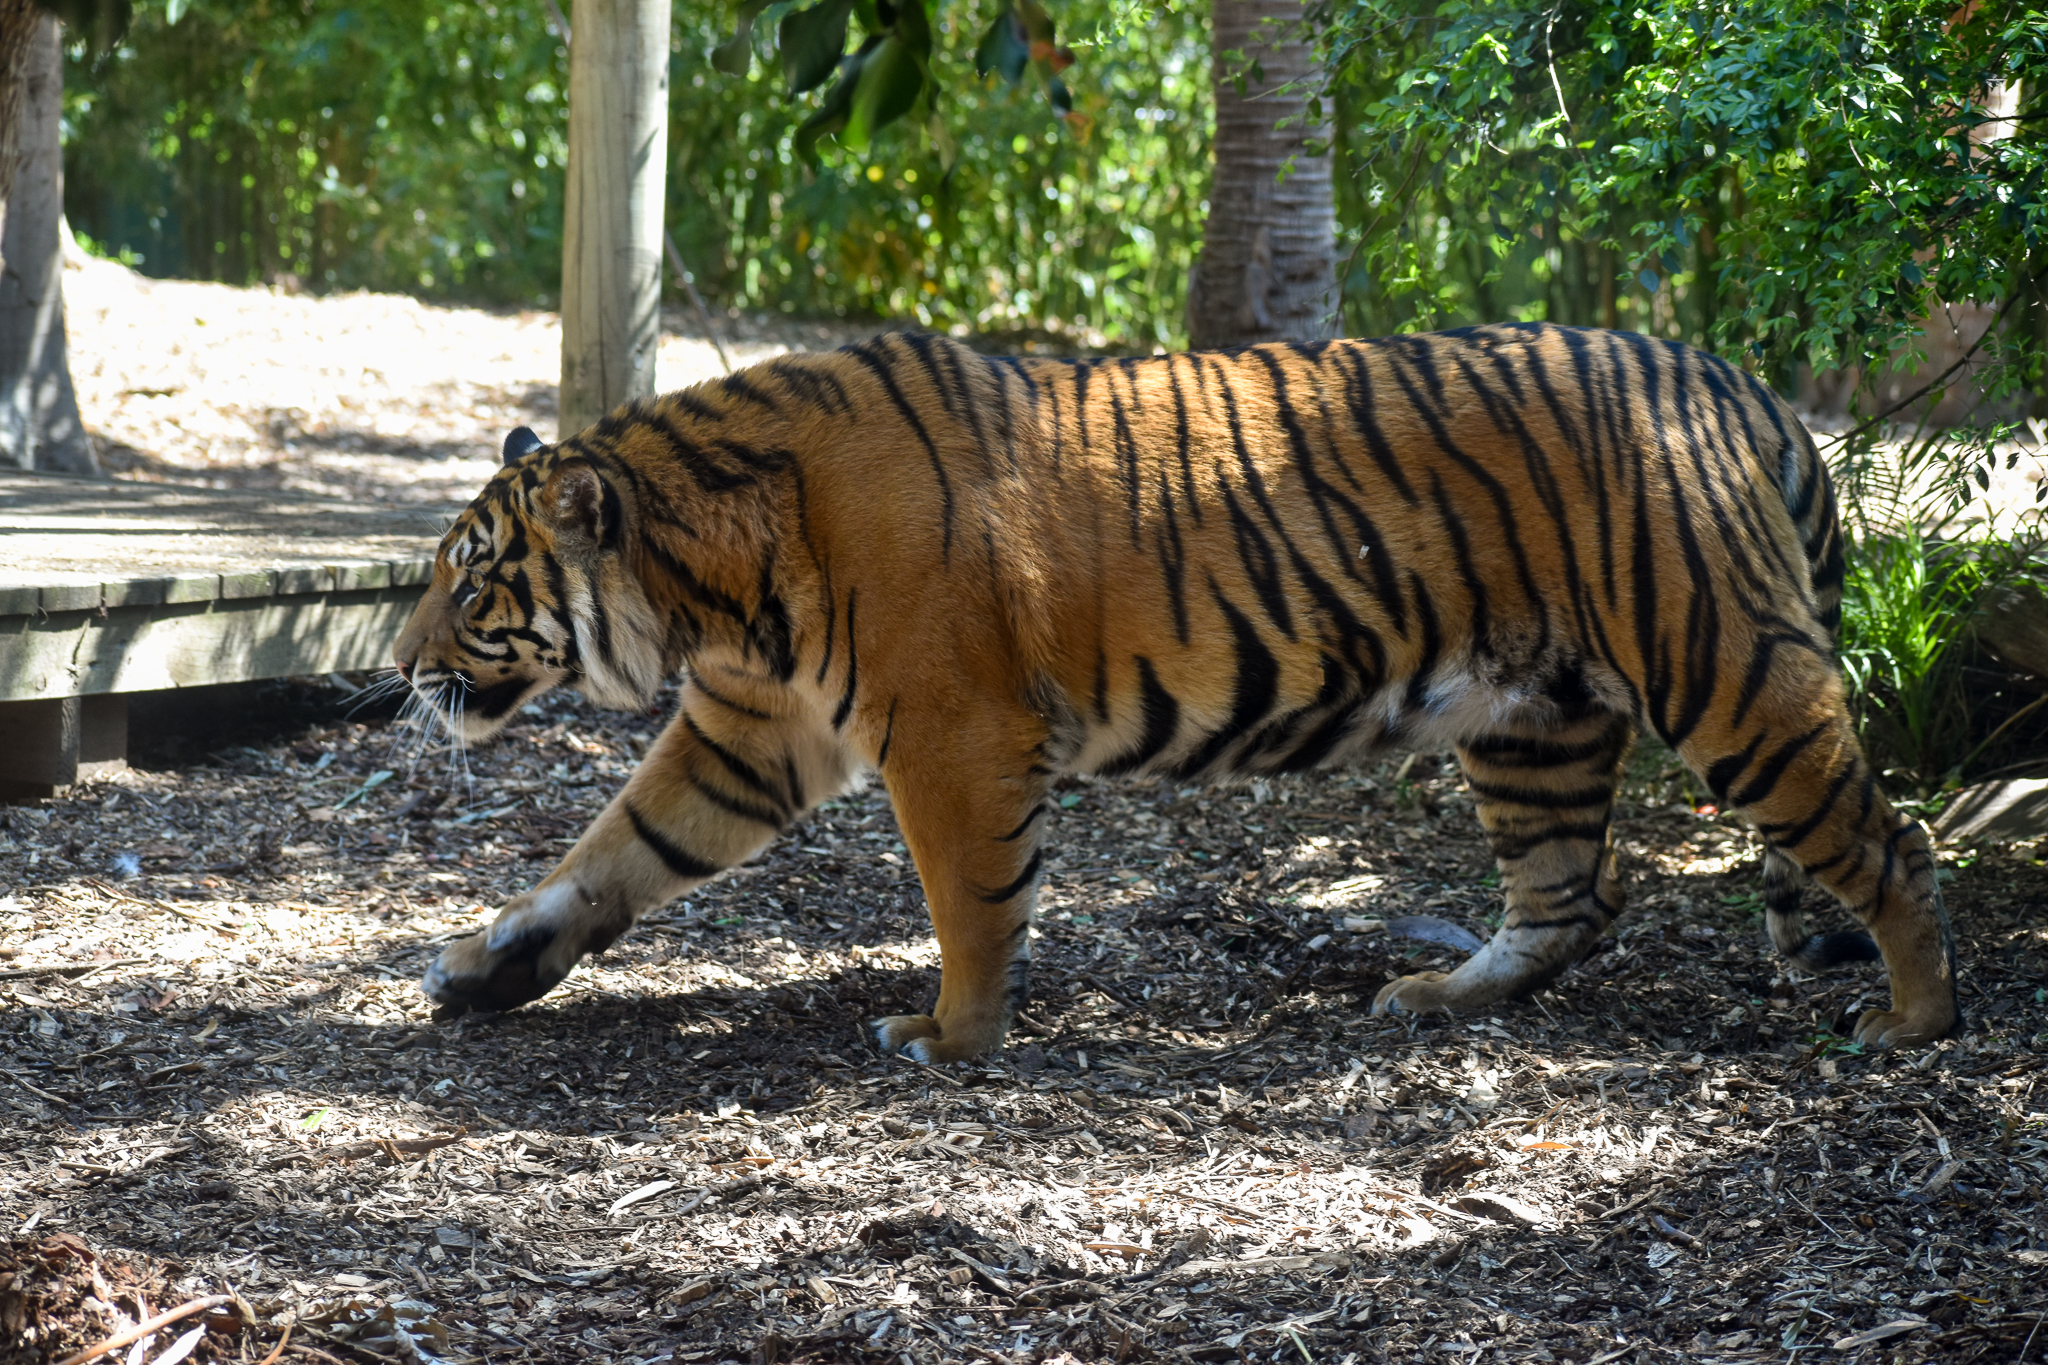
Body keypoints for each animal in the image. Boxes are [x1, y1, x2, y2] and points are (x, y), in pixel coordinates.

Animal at [391, 323, 1959, 1062]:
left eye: (471, 586)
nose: (396, 669)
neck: (711, 583)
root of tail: (1741, 384)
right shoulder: (746, 732)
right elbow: (610, 853)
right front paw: (485, 969)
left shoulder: (951, 738)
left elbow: (970, 901)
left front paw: (952, 1037)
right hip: (1535, 719)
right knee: (1572, 894)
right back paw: (1441, 994)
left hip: (1724, 673)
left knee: (1893, 844)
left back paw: (1913, 1024)